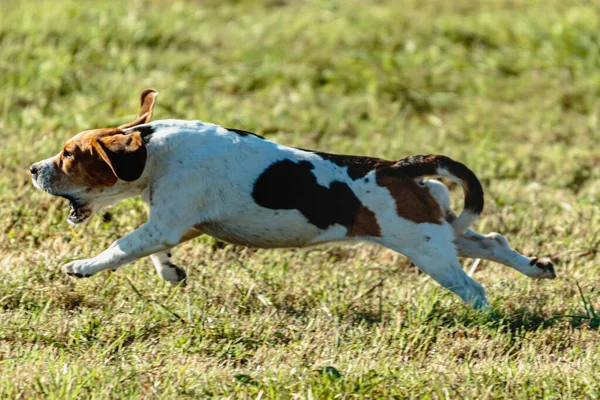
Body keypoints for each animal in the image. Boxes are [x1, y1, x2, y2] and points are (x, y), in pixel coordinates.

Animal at [30, 90, 556, 310]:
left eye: (70, 154)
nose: (33, 170)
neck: (153, 147)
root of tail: (400, 166)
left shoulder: (164, 223)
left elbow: (120, 247)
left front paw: (80, 267)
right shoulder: (173, 224)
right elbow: (154, 252)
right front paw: (172, 273)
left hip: (427, 250)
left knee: (474, 287)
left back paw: (488, 318)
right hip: (441, 232)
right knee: (493, 242)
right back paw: (538, 268)